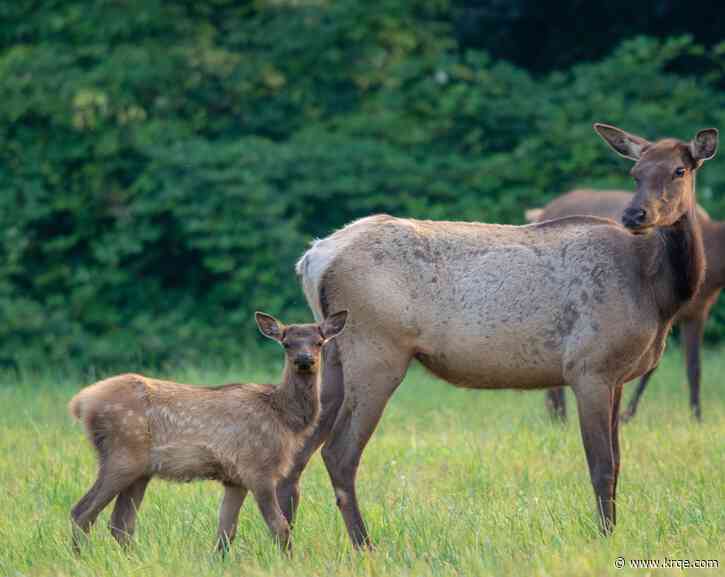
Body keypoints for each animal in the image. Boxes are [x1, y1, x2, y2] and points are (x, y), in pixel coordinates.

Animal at [68, 310, 347, 553]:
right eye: (287, 343)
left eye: (319, 342)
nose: (304, 359)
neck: (286, 418)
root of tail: (81, 402)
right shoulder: (258, 468)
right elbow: (280, 527)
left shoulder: (234, 479)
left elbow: (226, 533)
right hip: (122, 455)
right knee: (82, 512)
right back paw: (81, 557)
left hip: (140, 470)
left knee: (121, 523)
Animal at [528, 189, 724, 423]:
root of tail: (541, 213)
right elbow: (652, 369)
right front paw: (627, 414)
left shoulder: (697, 311)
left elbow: (693, 367)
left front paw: (697, 416)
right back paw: (560, 418)